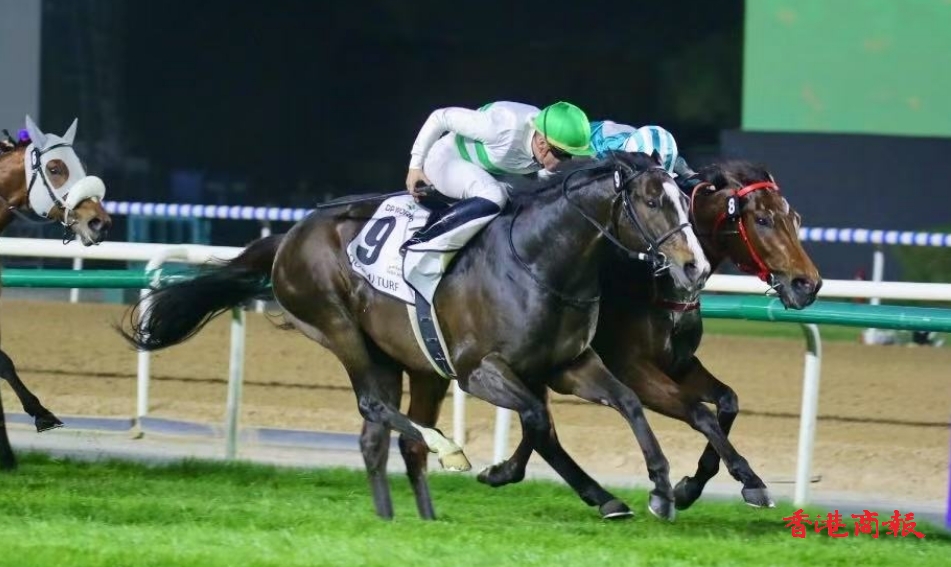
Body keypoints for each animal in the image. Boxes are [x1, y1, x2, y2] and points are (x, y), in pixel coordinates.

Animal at [119, 150, 711, 520]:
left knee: (381, 437)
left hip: (413, 363)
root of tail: (289, 235)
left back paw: (408, 515)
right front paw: (585, 491)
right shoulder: (479, 371)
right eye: (653, 202)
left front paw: (661, 487)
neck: (539, 260)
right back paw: (446, 450)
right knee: (377, 410)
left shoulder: (568, 365)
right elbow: (539, 422)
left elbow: (627, 402)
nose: (695, 267)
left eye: (684, 201)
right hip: (339, 326)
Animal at [465, 160, 822, 513]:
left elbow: (727, 402)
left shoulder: (680, 364)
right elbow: (699, 413)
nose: (808, 284)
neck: (653, 282)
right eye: (763, 219)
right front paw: (742, 482)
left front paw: (690, 486)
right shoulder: (632, 369)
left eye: (796, 218)